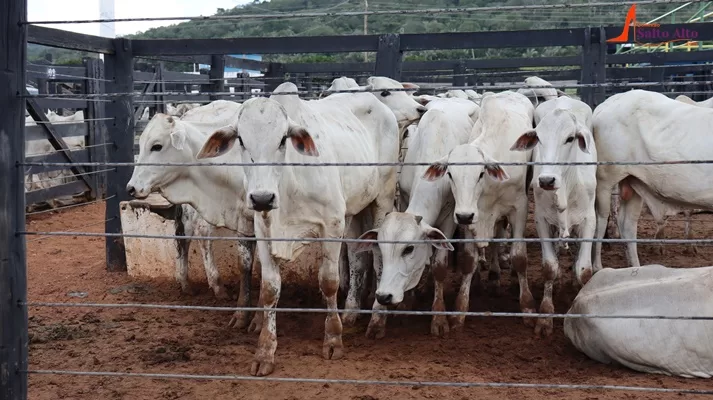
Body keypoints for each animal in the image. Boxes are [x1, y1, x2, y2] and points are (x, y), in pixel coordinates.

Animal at [126, 101, 258, 332]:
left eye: (156, 146)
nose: (132, 188)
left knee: (183, 236)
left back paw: (185, 282)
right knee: (202, 235)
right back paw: (216, 286)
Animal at [196, 82, 400, 378]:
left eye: (283, 139)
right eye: (242, 140)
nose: (262, 198)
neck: (288, 183)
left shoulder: (332, 224)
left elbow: (329, 281)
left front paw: (333, 340)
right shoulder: (264, 229)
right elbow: (270, 288)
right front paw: (265, 351)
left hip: (382, 200)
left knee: (379, 259)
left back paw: (377, 322)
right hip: (353, 211)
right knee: (357, 257)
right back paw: (350, 312)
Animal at [422, 90, 536, 324]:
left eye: (481, 173)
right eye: (450, 174)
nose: (464, 216)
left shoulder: (519, 207)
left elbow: (520, 257)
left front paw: (528, 306)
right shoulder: (471, 216)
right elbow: (468, 260)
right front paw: (460, 309)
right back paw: (492, 275)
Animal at [512, 97, 596, 338]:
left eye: (569, 138)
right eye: (539, 138)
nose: (546, 180)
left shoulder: (589, 221)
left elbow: (584, 270)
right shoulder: (542, 221)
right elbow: (550, 267)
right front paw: (545, 317)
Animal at [588, 90, 712, 272]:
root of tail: (607, 103)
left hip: (633, 181)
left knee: (627, 224)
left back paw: (636, 268)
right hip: (605, 180)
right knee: (600, 220)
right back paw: (598, 266)